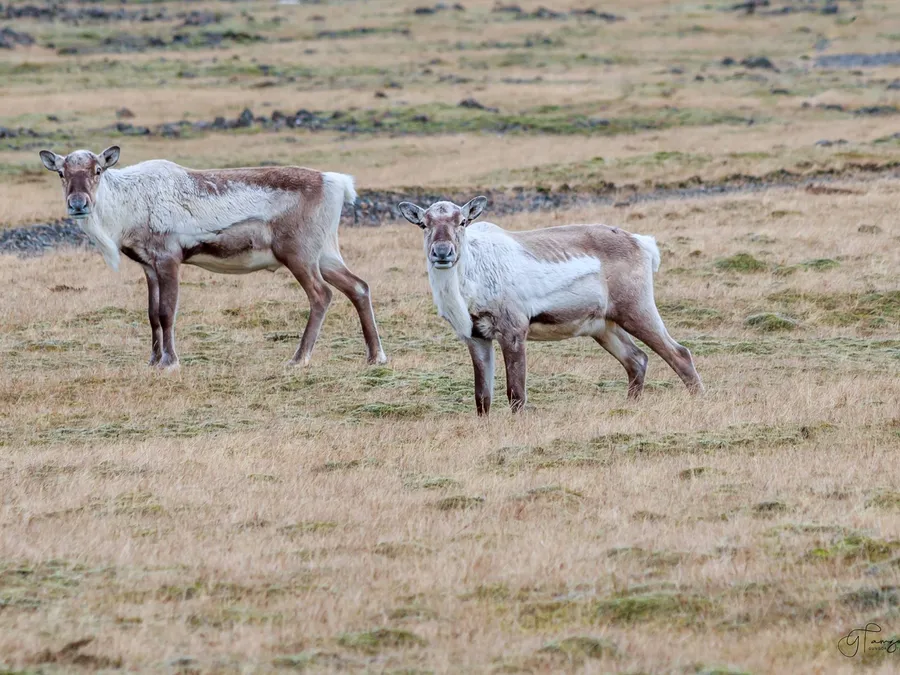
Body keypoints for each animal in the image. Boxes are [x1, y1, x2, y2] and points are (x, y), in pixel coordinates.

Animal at [39, 146, 387, 369]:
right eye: (61, 173)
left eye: (98, 170)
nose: (78, 203)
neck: (127, 208)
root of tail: (337, 183)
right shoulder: (148, 266)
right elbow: (151, 315)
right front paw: (152, 360)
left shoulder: (168, 259)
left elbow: (167, 312)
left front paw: (170, 361)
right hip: (325, 254)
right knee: (359, 286)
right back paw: (375, 356)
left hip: (298, 253)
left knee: (321, 294)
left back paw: (299, 358)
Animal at [397, 197, 703, 416]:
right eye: (423, 223)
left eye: (462, 221)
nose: (442, 252)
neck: (468, 284)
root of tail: (642, 243)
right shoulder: (475, 337)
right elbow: (482, 398)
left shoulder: (513, 331)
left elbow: (516, 393)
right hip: (602, 326)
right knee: (637, 359)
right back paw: (629, 407)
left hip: (636, 310)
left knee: (679, 353)